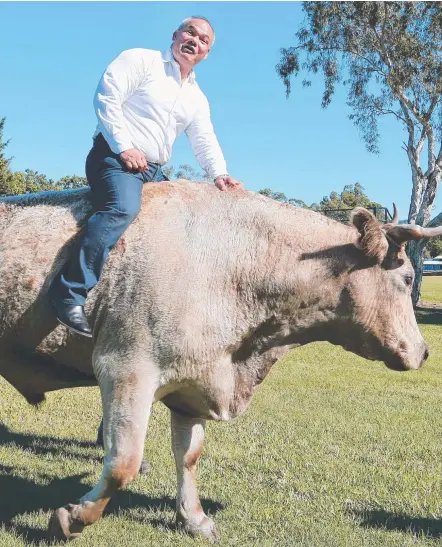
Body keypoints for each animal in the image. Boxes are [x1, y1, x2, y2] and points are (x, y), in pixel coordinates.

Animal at [0, 182, 438, 540]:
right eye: (407, 278)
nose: (424, 351)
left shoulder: (194, 383)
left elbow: (188, 455)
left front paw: (194, 518)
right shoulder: (124, 369)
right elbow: (123, 462)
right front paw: (74, 518)